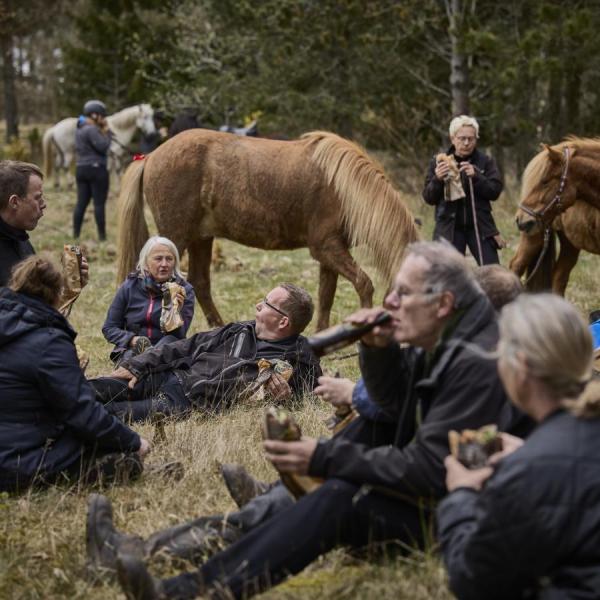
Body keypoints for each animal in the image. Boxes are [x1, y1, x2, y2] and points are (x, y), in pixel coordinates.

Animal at [115, 128, 420, 330]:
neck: (342, 186)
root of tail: (151, 156)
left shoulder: (329, 253)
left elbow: (326, 298)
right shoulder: (327, 248)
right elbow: (363, 283)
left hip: (202, 238)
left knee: (200, 283)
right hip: (174, 239)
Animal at [508, 137, 600, 296]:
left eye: (545, 181)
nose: (520, 218)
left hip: (570, 244)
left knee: (559, 276)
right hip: (533, 238)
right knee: (515, 267)